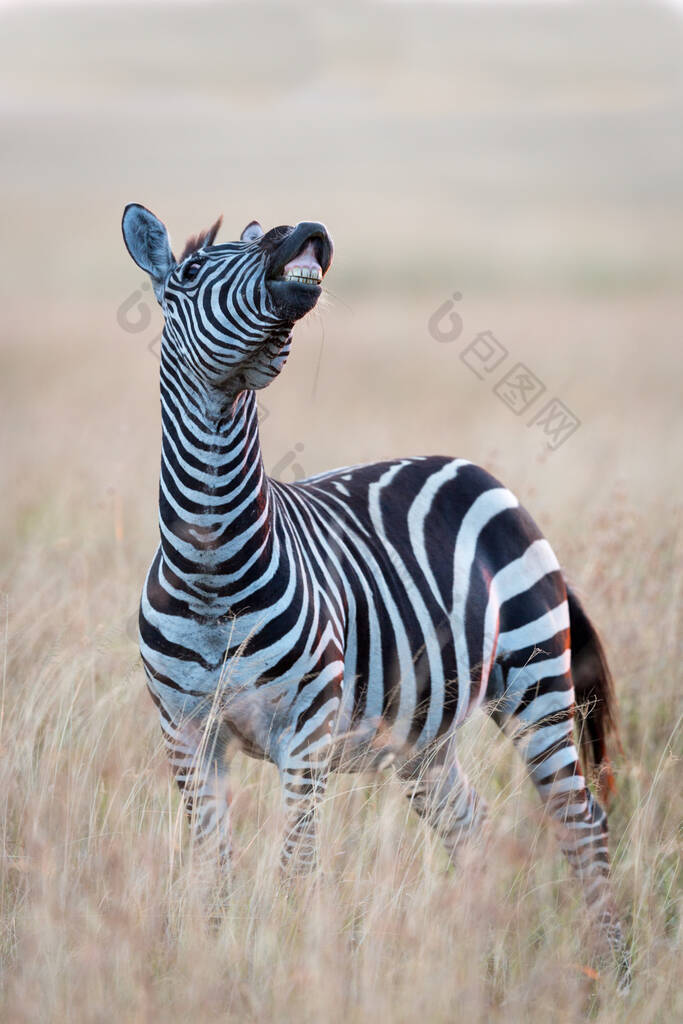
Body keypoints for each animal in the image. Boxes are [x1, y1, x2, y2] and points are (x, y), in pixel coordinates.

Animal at [121, 203, 630, 987]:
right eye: (193, 270)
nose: (301, 229)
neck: (212, 570)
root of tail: (477, 471)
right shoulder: (184, 735)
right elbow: (215, 870)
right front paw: (213, 963)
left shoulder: (304, 735)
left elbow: (296, 869)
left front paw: (286, 971)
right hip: (422, 734)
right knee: (472, 825)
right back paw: (477, 959)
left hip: (536, 681)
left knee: (580, 824)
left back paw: (612, 970)